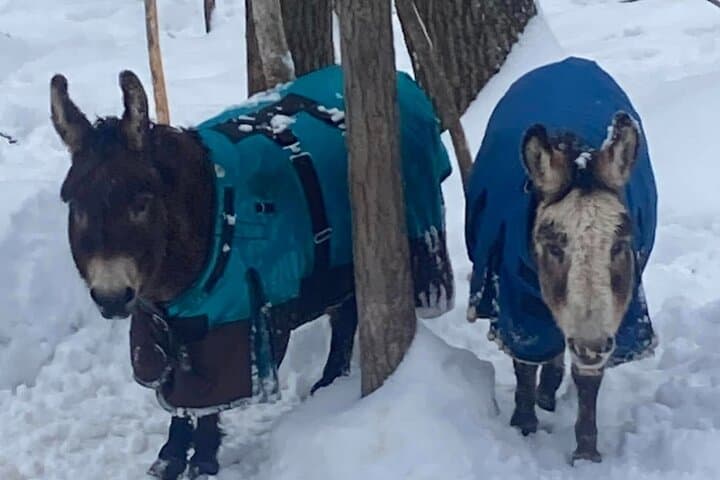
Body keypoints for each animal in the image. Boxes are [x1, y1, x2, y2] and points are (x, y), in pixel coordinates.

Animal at [50, 65, 454, 479]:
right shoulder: (160, 325)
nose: (111, 298)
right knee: (346, 316)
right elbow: (177, 395)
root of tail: (404, 80)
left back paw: (327, 387)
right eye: (75, 206)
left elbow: (206, 400)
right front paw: (170, 457)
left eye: (141, 202)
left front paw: (203, 461)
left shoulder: (233, 323)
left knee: (347, 318)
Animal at [466, 57, 657, 463]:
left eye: (621, 243)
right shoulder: (516, 298)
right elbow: (525, 362)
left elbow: (588, 379)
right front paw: (523, 426)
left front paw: (586, 453)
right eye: (552, 246)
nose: (591, 345)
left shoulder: (620, 308)